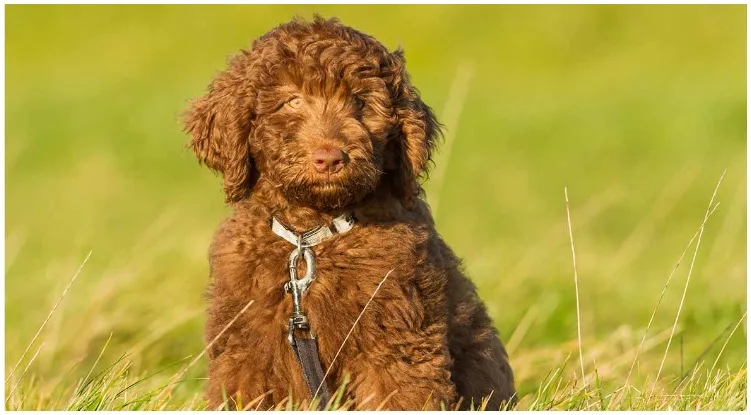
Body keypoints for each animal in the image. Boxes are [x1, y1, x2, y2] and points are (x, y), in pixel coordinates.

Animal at [183, 15, 516, 410]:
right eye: (292, 102)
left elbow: (399, 394)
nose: (329, 158)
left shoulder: (396, 337)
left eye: (359, 101)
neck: (311, 236)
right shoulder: (243, 344)